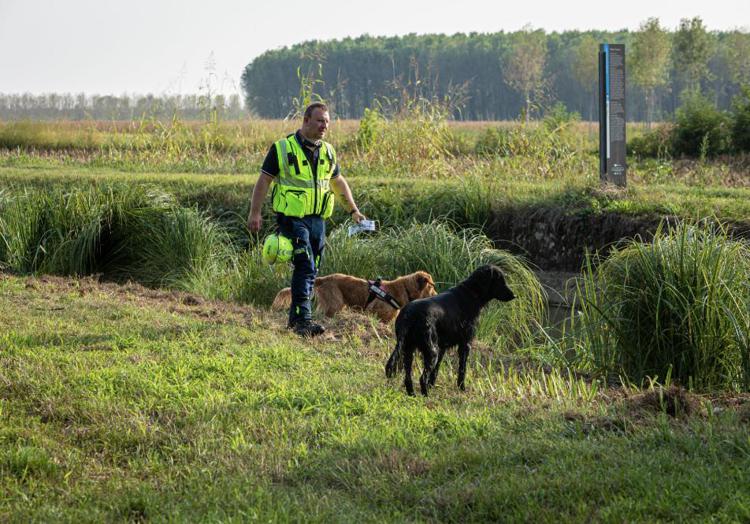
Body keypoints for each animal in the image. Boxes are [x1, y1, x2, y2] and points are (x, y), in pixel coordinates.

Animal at [388, 266, 516, 398]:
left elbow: (436, 370)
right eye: (499, 281)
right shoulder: (465, 344)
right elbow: (462, 369)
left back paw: (413, 395)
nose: (514, 295)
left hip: (409, 350)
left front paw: (432, 385)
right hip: (431, 351)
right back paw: (426, 396)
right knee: (422, 378)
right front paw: (462, 388)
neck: (471, 294)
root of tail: (408, 315)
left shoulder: (442, 347)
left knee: (408, 377)